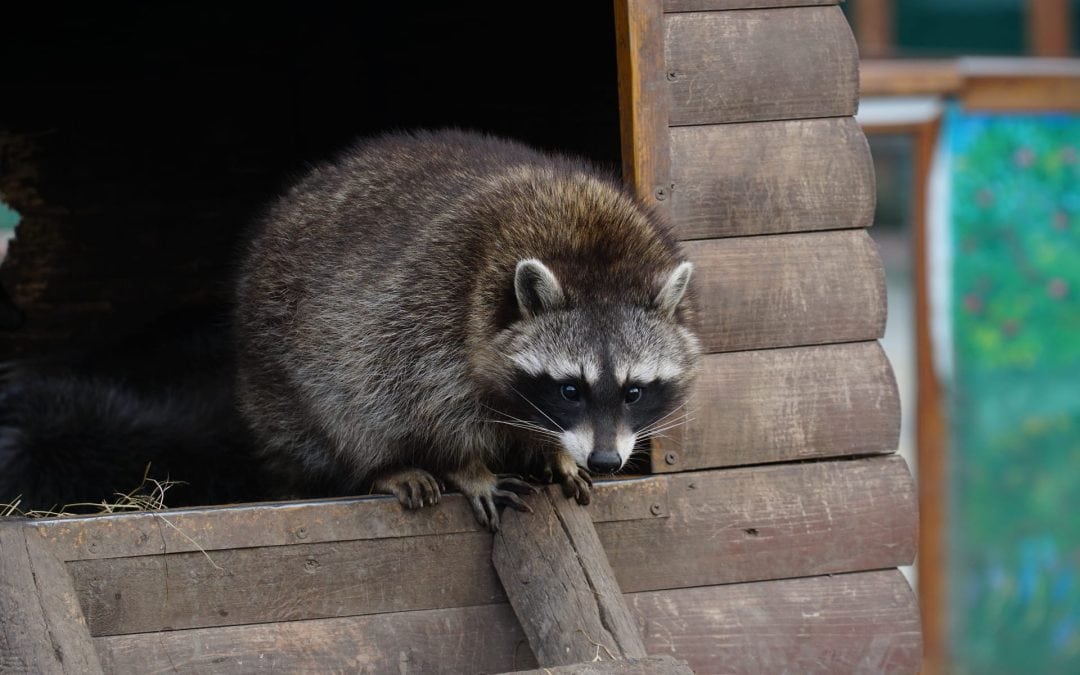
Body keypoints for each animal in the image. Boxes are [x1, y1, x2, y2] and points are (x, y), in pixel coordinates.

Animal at [235, 130, 699, 529]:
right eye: (570, 389)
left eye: (633, 391)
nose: (604, 461)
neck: (594, 254)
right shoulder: (431, 305)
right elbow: (425, 404)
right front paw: (467, 467)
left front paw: (557, 453)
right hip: (277, 355)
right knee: (344, 407)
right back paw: (384, 466)